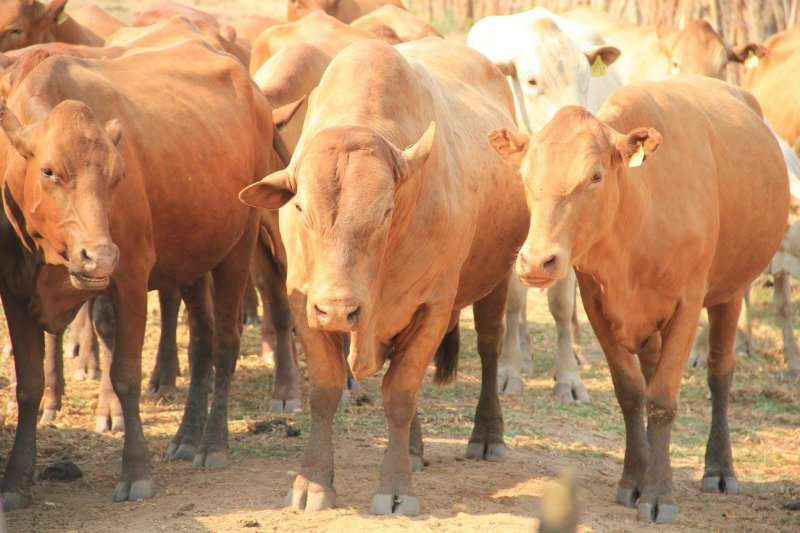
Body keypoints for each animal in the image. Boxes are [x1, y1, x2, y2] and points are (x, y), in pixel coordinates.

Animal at [0, 38, 277, 509]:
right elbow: (29, 385)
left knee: (225, 340)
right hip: (191, 260)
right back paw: (186, 436)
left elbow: (125, 375)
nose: (100, 257)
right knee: (201, 340)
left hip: (239, 247)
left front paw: (136, 472)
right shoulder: (15, 292)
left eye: (118, 174)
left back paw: (212, 444)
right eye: (48, 170)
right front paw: (16, 481)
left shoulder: (128, 281)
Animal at [239, 37, 528, 515]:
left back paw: (487, 434)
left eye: (386, 212)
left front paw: (395, 486)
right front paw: (312, 481)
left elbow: (400, 394)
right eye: (299, 208)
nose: (339, 309)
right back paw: (412, 446)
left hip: (497, 279)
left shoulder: (433, 307)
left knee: (489, 349)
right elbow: (325, 390)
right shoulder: (304, 302)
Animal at [468, 7, 621, 400]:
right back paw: (522, 353)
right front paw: (509, 369)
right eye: (532, 81)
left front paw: (568, 376)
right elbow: (515, 301)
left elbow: (562, 303)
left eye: (586, 78)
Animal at [489, 75, 789, 523]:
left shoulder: (687, 305)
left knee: (720, 372)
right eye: (524, 175)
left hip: (731, 291)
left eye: (595, 176)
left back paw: (719, 468)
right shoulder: (597, 304)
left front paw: (659, 493)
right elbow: (631, 391)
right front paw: (635, 479)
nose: (537, 261)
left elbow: (662, 398)